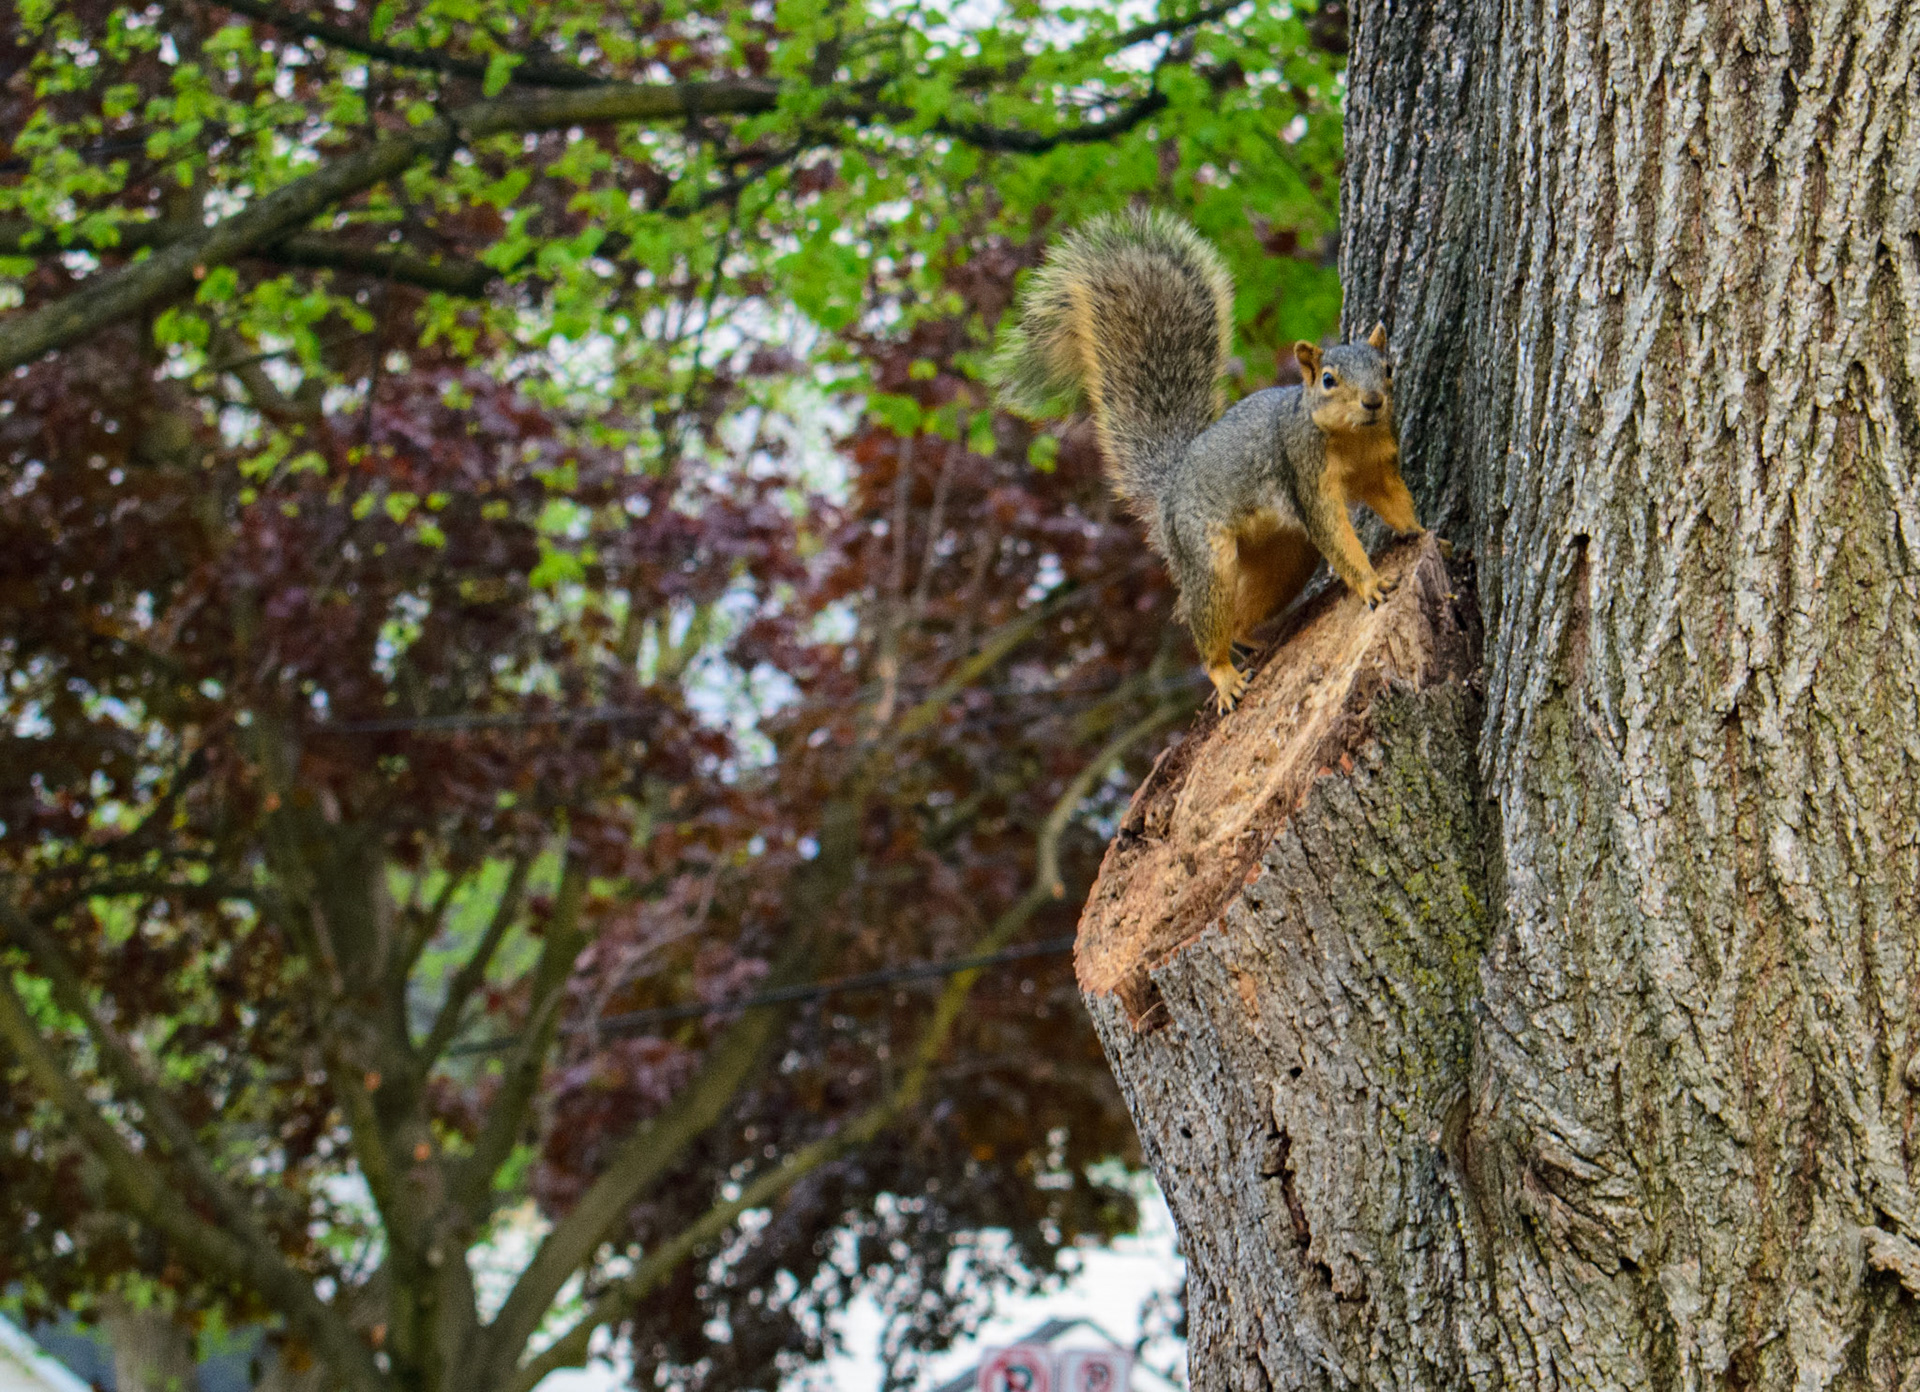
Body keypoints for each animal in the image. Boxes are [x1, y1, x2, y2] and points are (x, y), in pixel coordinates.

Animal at [992, 209, 1424, 712]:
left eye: (1389, 368)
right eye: (1329, 380)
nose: (1374, 402)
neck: (1352, 439)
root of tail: (1170, 487)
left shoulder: (1379, 466)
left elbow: (1393, 500)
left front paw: (1421, 532)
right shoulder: (1304, 475)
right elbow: (1336, 536)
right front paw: (1370, 583)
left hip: (1285, 556)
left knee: (1240, 615)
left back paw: (1257, 640)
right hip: (1205, 554)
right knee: (1205, 621)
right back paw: (1224, 674)